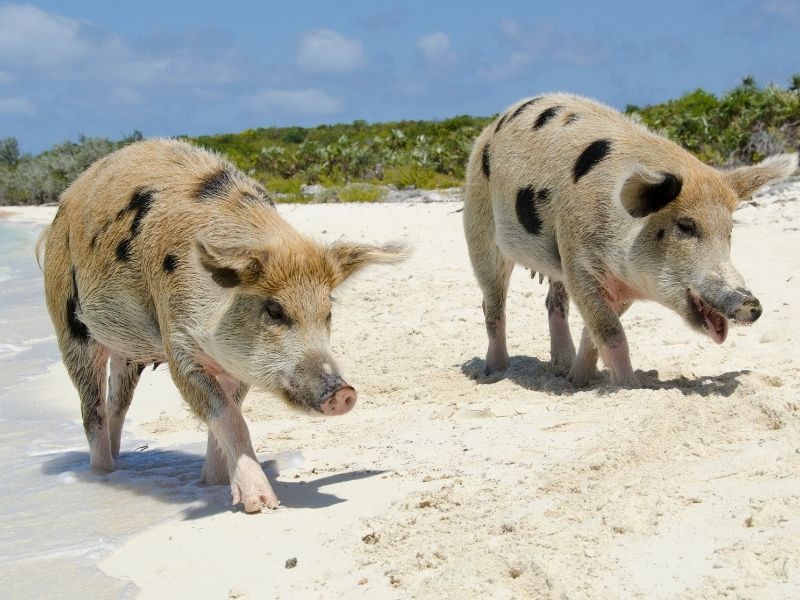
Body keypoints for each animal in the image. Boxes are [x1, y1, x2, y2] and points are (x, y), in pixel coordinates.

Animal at [36, 139, 406, 510]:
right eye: (274, 310)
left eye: (328, 312)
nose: (343, 392)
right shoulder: (178, 343)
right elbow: (228, 417)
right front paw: (262, 505)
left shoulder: (235, 364)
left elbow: (228, 416)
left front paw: (212, 486)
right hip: (68, 323)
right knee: (91, 409)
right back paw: (102, 474)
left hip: (128, 352)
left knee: (118, 403)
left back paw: (120, 466)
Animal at [466, 91, 796, 386]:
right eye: (685, 226)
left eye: (729, 231)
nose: (751, 304)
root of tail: (491, 127)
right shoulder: (579, 262)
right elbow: (611, 332)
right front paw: (630, 386)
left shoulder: (615, 283)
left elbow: (595, 333)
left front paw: (579, 382)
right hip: (478, 223)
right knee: (492, 303)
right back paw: (494, 372)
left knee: (553, 302)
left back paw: (560, 370)